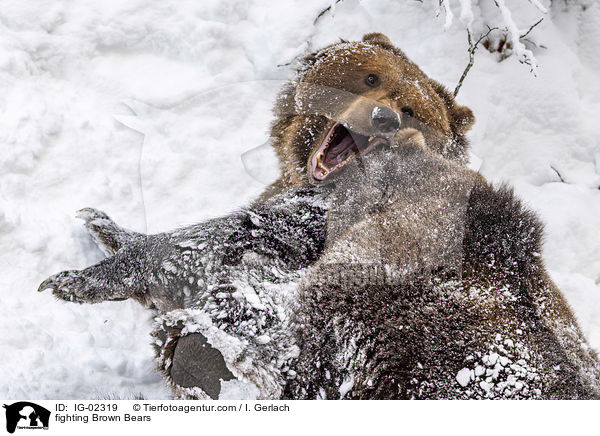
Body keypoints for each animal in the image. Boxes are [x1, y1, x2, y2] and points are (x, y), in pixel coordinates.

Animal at [37, 32, 600, 396]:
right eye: (370, 76)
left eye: (412, 108)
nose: (384, 116)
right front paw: (103, 229)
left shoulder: (342, 217)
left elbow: (222, 239)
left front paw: (86, 270)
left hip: (424, 318)